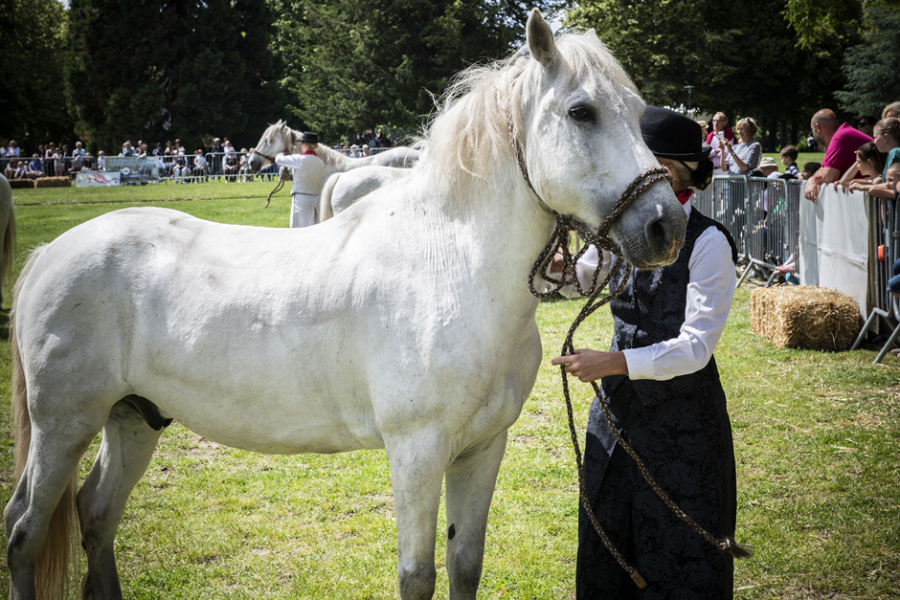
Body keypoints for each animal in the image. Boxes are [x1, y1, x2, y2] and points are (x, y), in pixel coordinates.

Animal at [3, 10, 684, 600]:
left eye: (635, 113)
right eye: (581, 112)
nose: (666, 227)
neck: (451, 264)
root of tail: (50, 253)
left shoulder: (482, 448)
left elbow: (465, 564)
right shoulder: (417, 452)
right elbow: (418, 576)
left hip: (134, 418)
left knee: (96, 517)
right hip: (64, 427)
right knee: (24, 533)